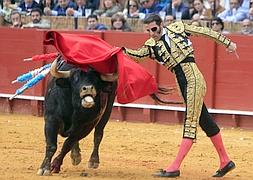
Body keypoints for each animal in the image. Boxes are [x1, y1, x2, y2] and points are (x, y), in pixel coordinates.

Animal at [38, 57, 179, 176]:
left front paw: (55, 165)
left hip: (107, 110)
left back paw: (93, 160)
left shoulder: (86, 126)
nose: (88, 88)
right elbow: (51, 145)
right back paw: (76, 156)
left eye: (96, 79)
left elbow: (67, 144)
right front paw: (44, 168)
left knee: (98, 135)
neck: (73, 105)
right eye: (75, 78)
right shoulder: (51, 119)